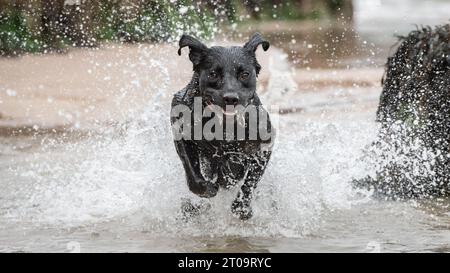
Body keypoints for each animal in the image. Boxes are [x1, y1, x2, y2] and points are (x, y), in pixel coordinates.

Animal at [170, 32, 272, 219]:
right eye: (213, 74)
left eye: (244, 74)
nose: (231, 98)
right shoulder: (182, 137)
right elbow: (192, 173)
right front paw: (207, 189)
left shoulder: (263, 149)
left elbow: (250, 182)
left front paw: (241, 207)